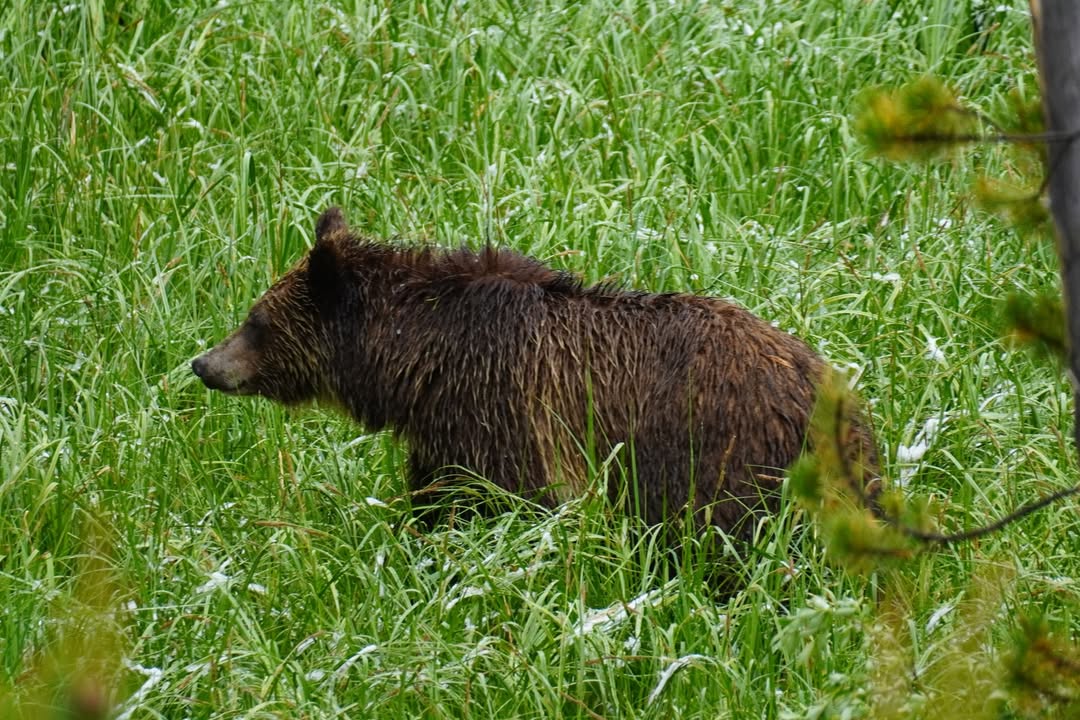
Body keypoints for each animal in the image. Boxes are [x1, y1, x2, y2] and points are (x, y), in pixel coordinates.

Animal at [192, 207, 877, 542]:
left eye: (255, 320)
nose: (203, 363)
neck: (413, 358)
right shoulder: (447, 426)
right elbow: (437, 494)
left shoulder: (499, 405)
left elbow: (493, 500)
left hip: (722, 452)